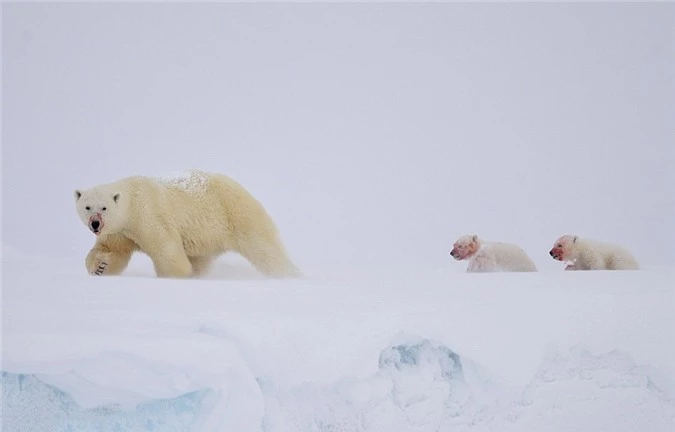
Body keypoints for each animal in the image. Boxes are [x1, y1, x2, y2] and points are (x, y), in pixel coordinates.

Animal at [73, 170, 302, 278]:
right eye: (87, 207)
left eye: (103, 207)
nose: (95, 224)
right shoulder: (121, 230)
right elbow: (111, 248)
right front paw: (100, 267)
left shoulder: (148, 215)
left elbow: (167, 250)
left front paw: (176, 276)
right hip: (207, 238)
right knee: (202, 260)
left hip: (237, 214)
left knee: (266, 251)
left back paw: (291, 275)